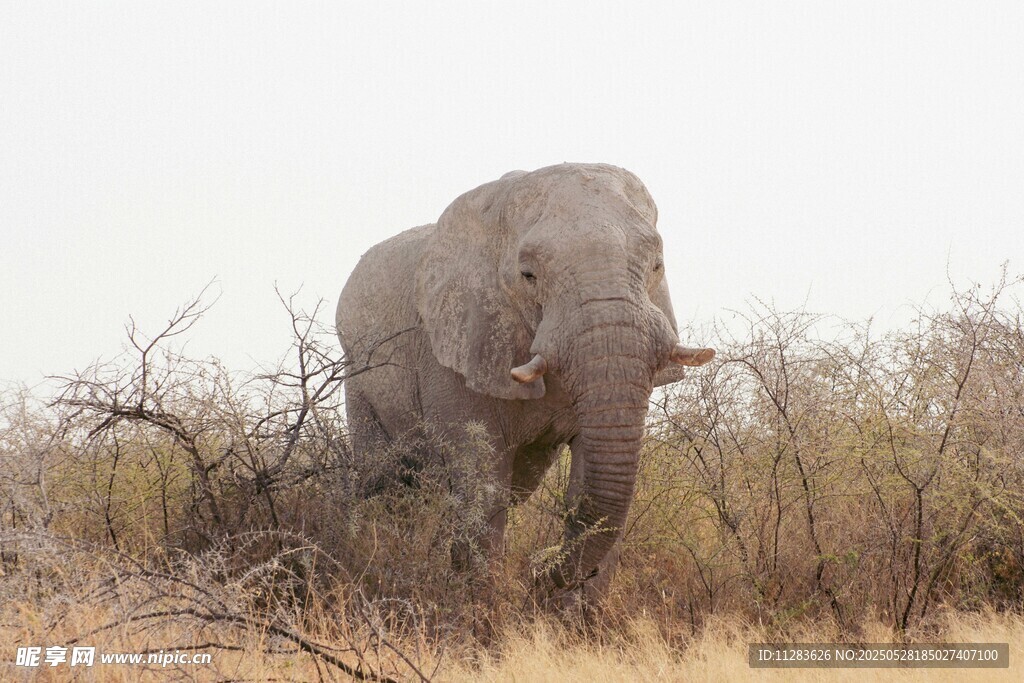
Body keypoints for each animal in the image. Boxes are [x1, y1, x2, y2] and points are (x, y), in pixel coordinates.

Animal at [336, 162, 714, 599]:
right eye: (528, 274)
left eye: (657, 266)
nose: (536, 571)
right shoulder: (454, 348)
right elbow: (483, 485)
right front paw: (481, 605)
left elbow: (588, 478)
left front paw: (580, 612)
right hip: (358, 377)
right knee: (384, 483)